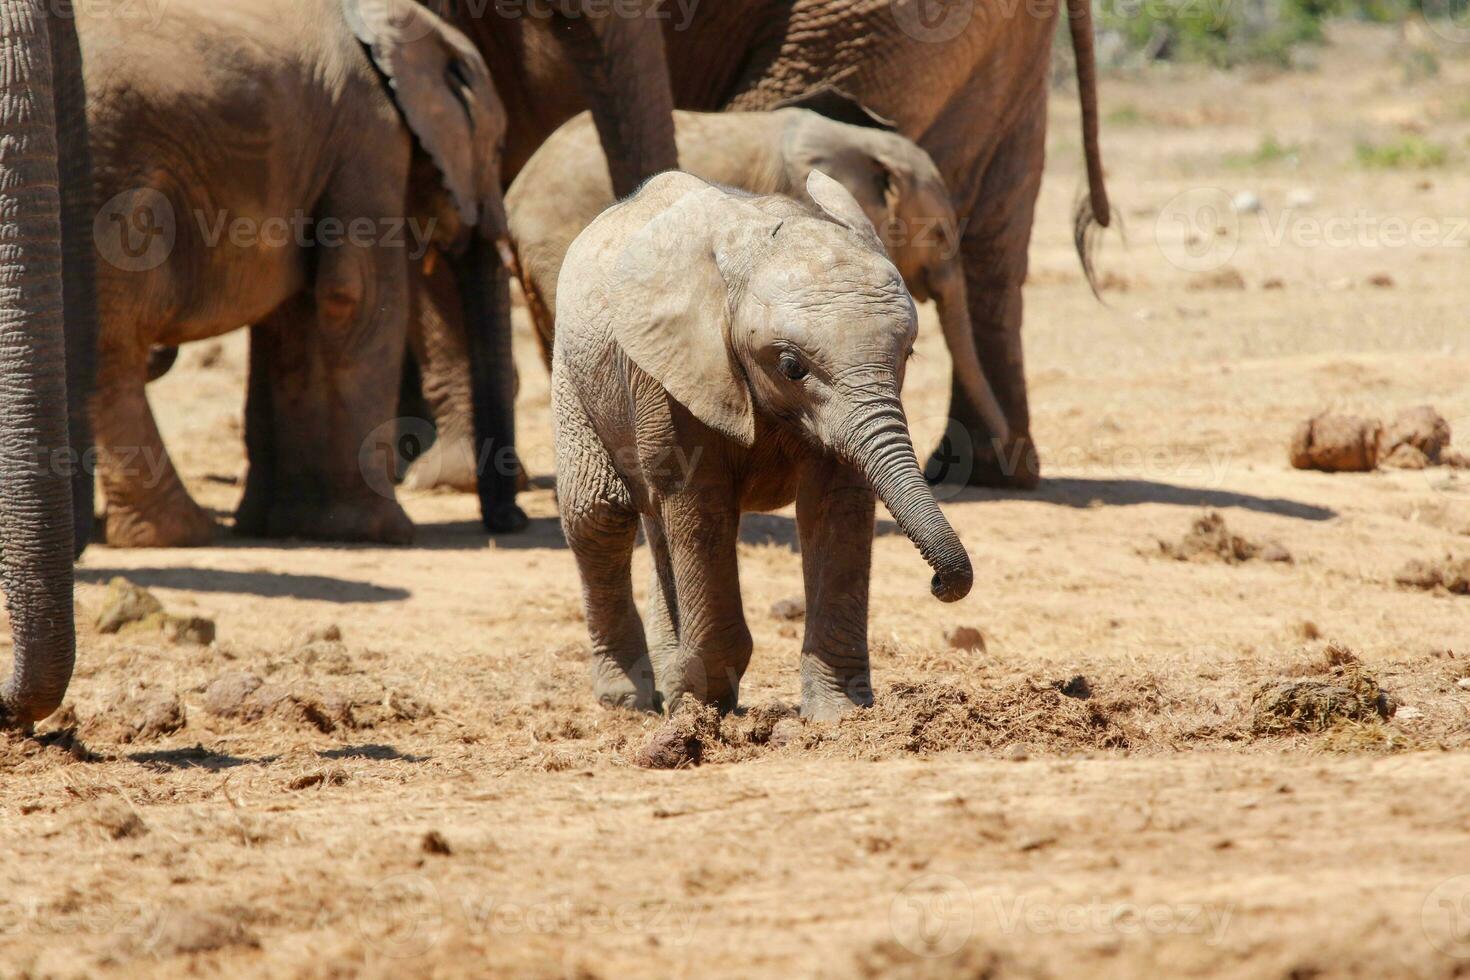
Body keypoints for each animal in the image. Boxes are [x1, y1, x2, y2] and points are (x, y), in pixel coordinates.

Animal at [552, 170, 976, 719]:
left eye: (908, 354)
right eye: (791, 366)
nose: (940, 583)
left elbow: (835, 504)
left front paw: (838, 716)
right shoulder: (671, 372)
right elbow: (701, 506)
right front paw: (704, 706)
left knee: (658, 525)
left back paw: (667, 684)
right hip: (573, 373)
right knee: (598, 517)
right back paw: (630, 701)